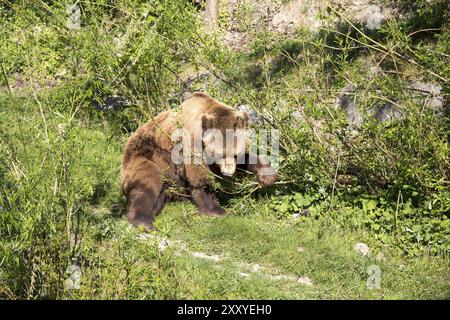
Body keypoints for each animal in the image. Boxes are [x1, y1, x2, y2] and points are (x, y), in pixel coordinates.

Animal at [120, 92, 274, 230]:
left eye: (236, 154)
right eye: (219, 154)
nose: (228, 173)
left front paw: (267, 175)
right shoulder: (191, 142)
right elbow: (199, 176)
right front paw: (217, 210)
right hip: (147, 157)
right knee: (147, 185)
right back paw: (144, 221)